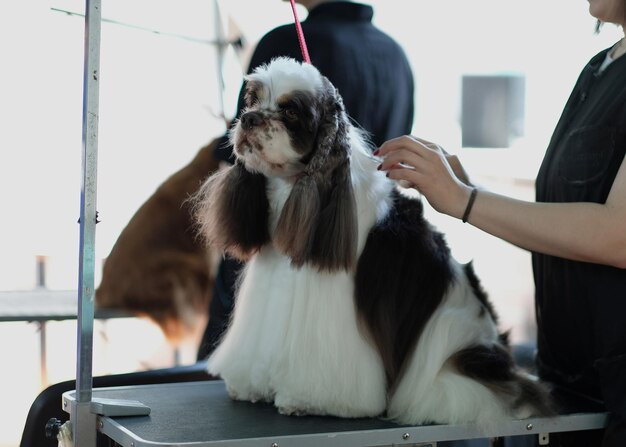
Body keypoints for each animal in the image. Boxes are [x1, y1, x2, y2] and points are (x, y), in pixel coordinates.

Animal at [191, 57, 552, 428]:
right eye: (251, 101)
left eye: (291, 111)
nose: (248, 119)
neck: (296, 189)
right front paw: (249, 385)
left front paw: (305, 400)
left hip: (451, 351)